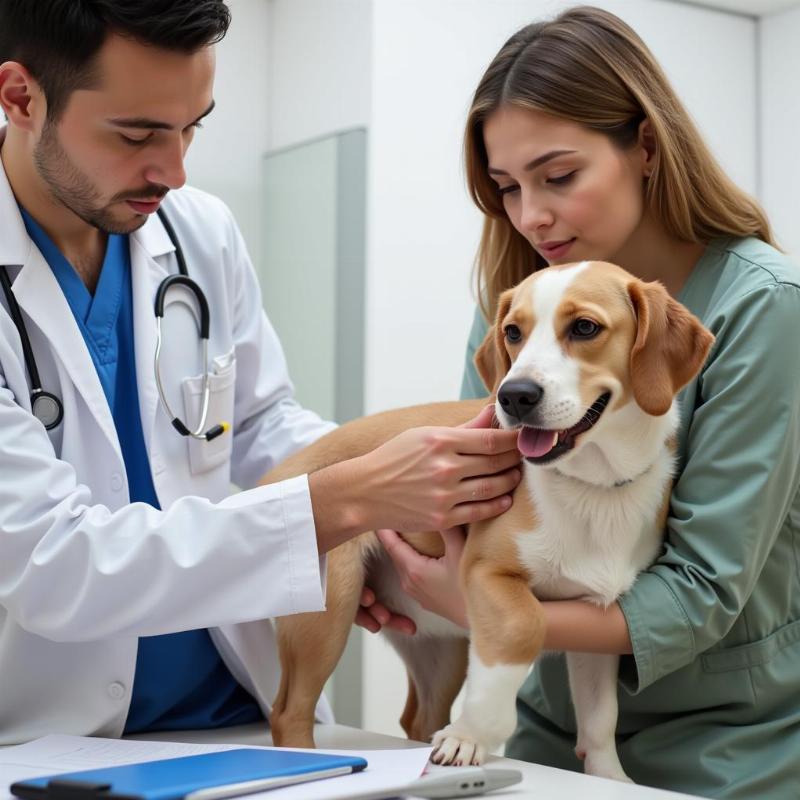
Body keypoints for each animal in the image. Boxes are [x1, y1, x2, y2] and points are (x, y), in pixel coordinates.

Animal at [260, 260, 712, 780]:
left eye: (584, 327)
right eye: (513, 332)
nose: (514, 395)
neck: (593, 488)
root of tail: (285, 470)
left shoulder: (597, 609)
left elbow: (600, 719)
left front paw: (610, 778)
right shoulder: (487, 574)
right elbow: (524, 624)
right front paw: (474, 733)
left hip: (443, 646)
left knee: (418, 716)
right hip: (327, 615)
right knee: (289, 710)